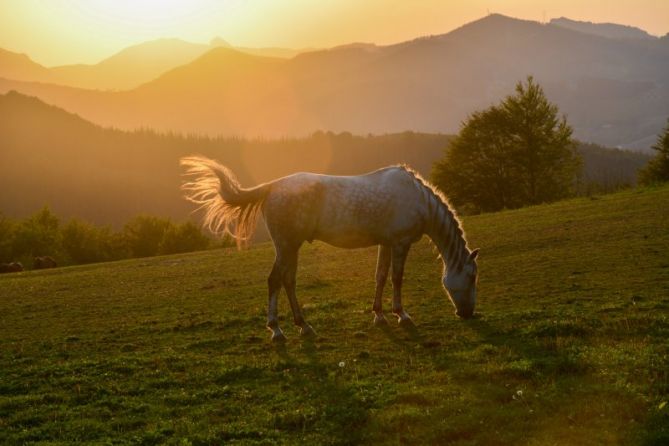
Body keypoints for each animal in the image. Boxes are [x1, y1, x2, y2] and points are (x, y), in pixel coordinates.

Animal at [180, 157, 478, 342]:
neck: (418, 199)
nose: (467, 314)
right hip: (286, 245)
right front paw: (401, 315)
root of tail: (272, 187)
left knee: (287, 280)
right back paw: (277, 330)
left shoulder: (386, 242)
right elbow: (396, 278)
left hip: (291, 247)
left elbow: (381, 277)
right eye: (472, 276)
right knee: (276, 280)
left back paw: (303, 326)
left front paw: (379, 315)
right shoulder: (400, 243)